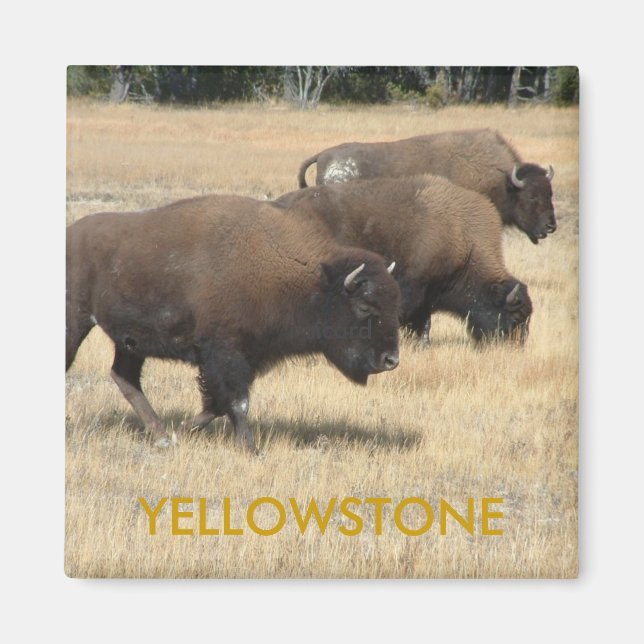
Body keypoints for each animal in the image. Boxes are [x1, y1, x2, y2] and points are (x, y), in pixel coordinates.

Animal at [66, 195, 401, 451]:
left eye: (394, 305)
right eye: (364, 306)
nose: (391, 360)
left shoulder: (246, 358)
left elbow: (217, 404)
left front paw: (183, 430)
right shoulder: (225, 354)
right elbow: (238, 402)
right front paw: (251, 449)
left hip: (131, 343)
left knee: (125, 377)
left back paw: (161, 436)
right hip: (76, 322)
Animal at [275, 175, 532, 343]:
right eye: (517, 315)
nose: (517, 344)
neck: (463, 238)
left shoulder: (428, 294)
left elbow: (424, 320)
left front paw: (422, 342)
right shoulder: (414, 286)